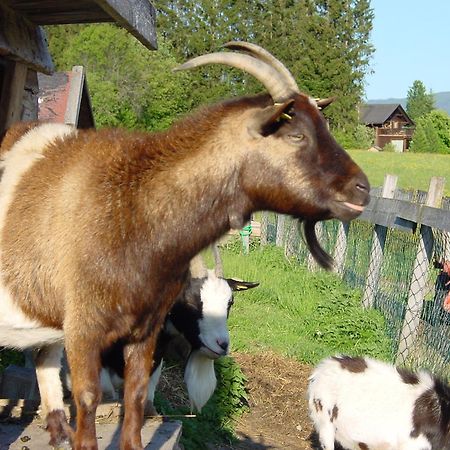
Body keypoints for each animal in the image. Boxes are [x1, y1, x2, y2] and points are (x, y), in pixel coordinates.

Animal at [0, 43, 368, 450]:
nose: (362, 189)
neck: (131, 211)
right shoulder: (83, 330)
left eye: (231, 303)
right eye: (297, 135)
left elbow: (137, 398)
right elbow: (88, 400)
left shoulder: (145, 331)